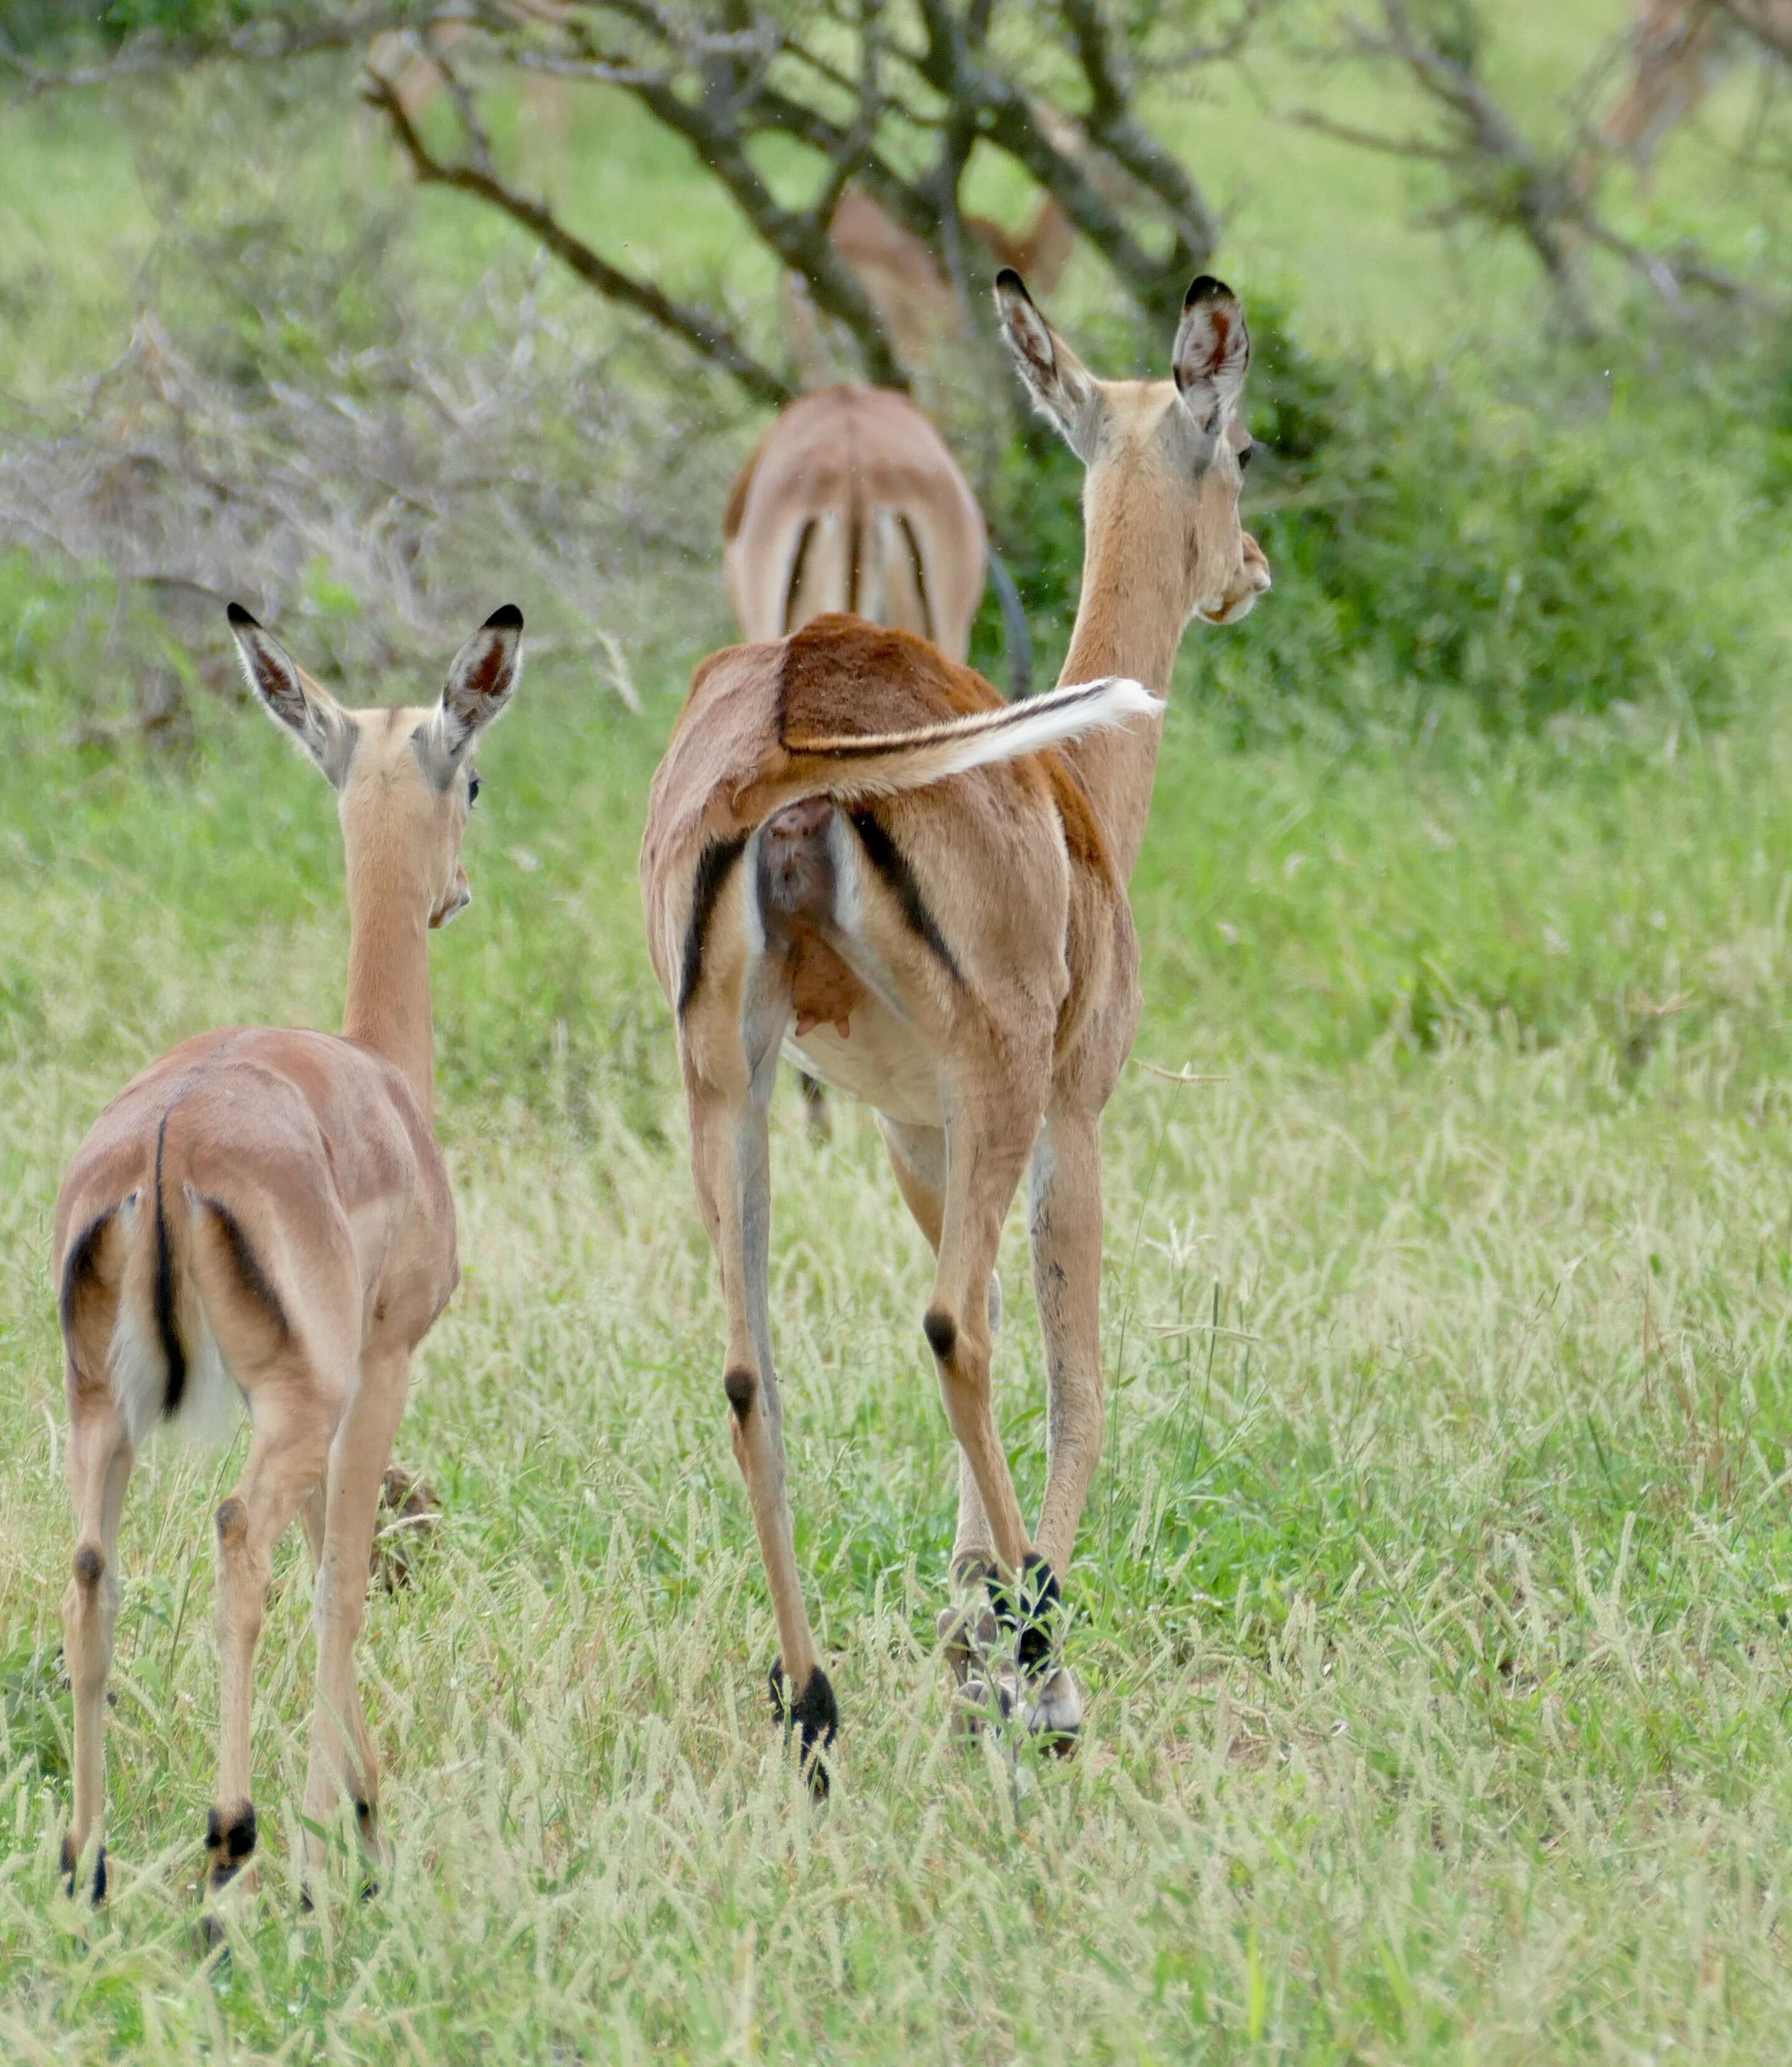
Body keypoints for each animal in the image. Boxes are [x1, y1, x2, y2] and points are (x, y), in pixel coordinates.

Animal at [55, 599, 519, 1901]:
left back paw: (87, 1864)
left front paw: (366, 1811)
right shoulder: (383, 1364)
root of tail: (163, 1149)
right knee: (239, 1545)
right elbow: (343, 1581)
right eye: (474, 775)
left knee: (92, 1575)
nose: (455, 894)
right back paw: (234, 1847)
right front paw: (341, 1836)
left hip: (99, 1407)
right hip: (288, 1402)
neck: (381, 1074)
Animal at [645, 274, 1273, 1786]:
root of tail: (796, 733)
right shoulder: (1068, 1115)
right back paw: (1048, 1679)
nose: (1251, 568)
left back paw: (812, 1703)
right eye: (1243, 446)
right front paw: (1009, 1658)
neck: (1078, 783)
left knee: (749, 1369)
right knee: (956, 1332)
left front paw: (966, 1628)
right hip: (992, 1083)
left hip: (728, 1087)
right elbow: (1076, 1375)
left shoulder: (907, 1133)